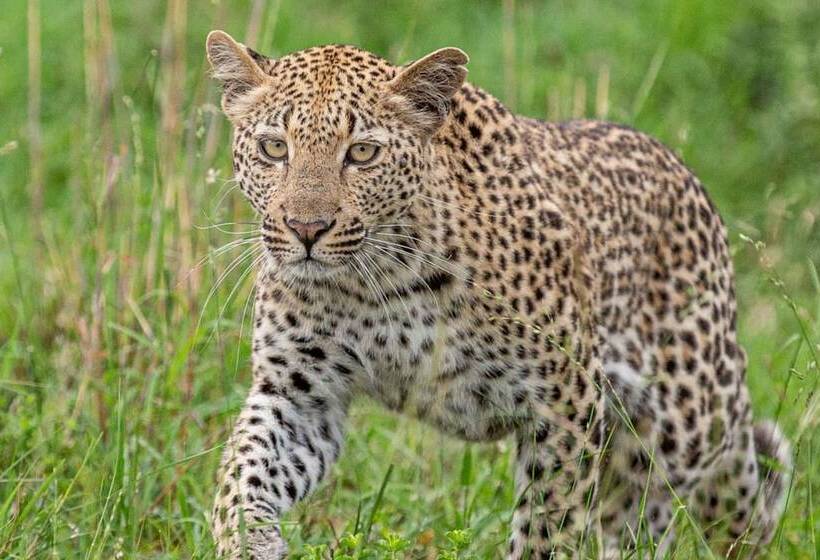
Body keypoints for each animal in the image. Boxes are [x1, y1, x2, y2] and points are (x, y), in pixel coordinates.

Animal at [204, 30, 791, 559]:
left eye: (363, 153)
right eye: (274, 148)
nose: (306, 229)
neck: (379, 283)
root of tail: (687, 175)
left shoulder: (565, 399)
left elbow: (550, 523)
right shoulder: (301, 394)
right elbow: (242, 475)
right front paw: (248, 541)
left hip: (689, 418)